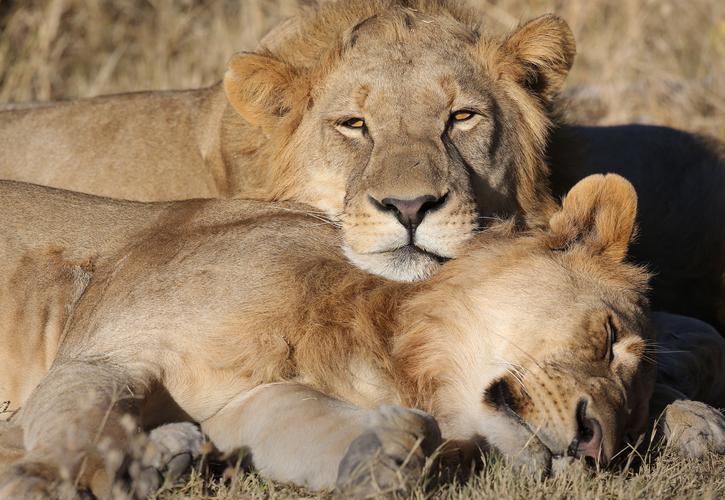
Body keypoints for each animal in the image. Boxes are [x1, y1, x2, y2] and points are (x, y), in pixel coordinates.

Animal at [1, 174, 724, 498]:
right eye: (606, 336)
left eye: (632, 419)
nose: (598, 446)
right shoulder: (102, 356)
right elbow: (80, 421)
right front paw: (41, 480)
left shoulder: (244, 403)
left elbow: (314, 430)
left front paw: (382, 454)